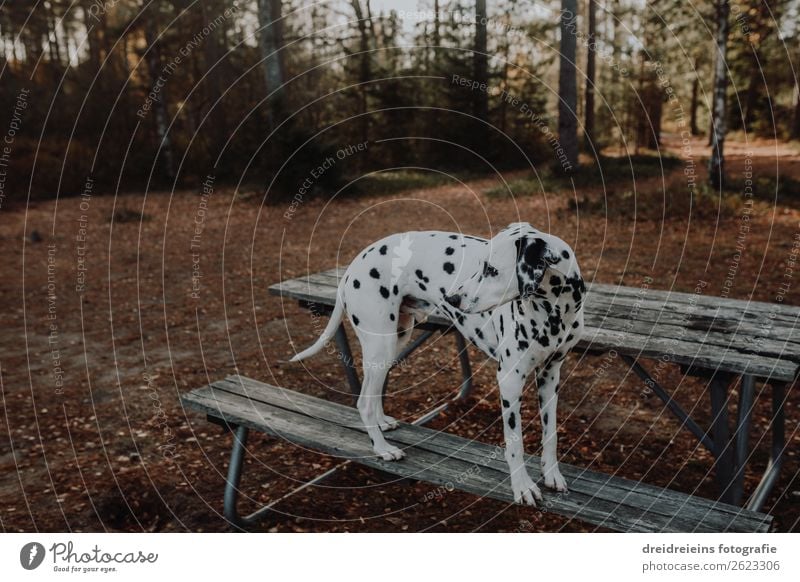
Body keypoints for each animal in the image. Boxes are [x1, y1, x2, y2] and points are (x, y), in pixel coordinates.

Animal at [290, 224, 584, 506]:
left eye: (491, 270)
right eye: (482, 265)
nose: (453, 299)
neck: (555, 312)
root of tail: (353, 265)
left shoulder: (550, 376)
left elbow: (551, 433)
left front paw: (551, 474)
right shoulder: (510, 379)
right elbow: (515, 443)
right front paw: (522, 486)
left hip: (394, 342)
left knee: (372, 393)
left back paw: (382, 422)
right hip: (380, 345)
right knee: (363, 402)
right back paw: (382, 448)